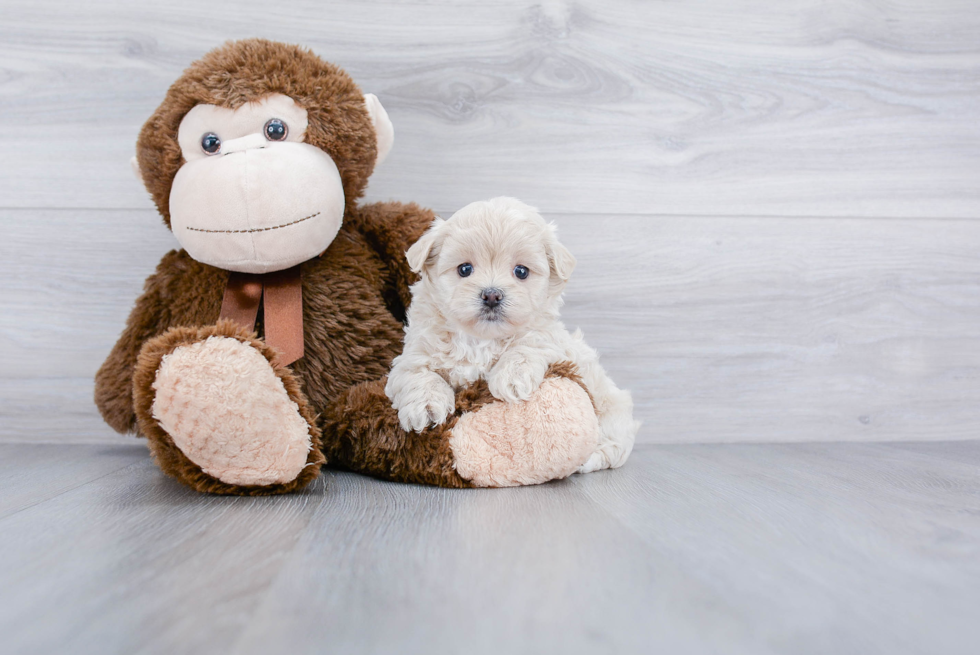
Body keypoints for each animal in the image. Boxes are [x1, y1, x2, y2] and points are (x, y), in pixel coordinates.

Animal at [386, 195, 640, 472]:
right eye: (464, 269)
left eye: (521, 271)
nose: (491, 295)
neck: (479, 339)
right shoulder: (413, 355)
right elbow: (418, 375)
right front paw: (426, 406)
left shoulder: (549, 339)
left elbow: (527, 345)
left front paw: (511, 377)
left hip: (612, 408)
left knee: (615, 445)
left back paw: (591, 457)